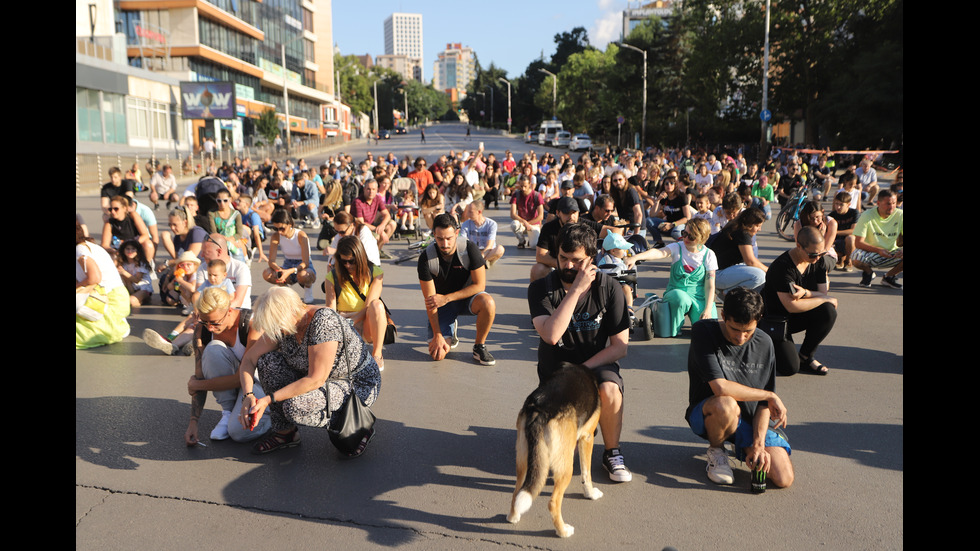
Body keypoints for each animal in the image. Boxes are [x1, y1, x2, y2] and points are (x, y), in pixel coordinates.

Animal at [510, 364, 600, 536]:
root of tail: (539, 409)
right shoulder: (587, 437)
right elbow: (587, 474)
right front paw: (590, 494)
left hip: (523, 460)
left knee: (517, 491)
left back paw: (513, 517)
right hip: (566, 469)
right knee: (553, 503)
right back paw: (563, 531)